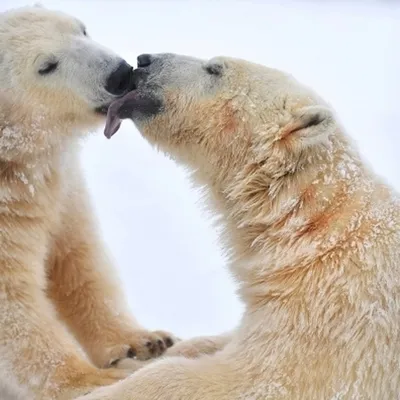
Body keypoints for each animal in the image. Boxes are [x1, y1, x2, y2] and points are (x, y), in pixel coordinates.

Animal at [0, 6, 177, 400]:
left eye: (80, 29)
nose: (120, 74)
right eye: (46, 65)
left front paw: (144, 342)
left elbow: (78, 260)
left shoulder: (61, 188)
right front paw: (95, 380)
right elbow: (13, 306)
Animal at [83, 54, 400, 400]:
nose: (143, 60)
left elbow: (255, 379)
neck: (310, 228)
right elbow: (221, 341)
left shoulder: (332, 313)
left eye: (214, 69)